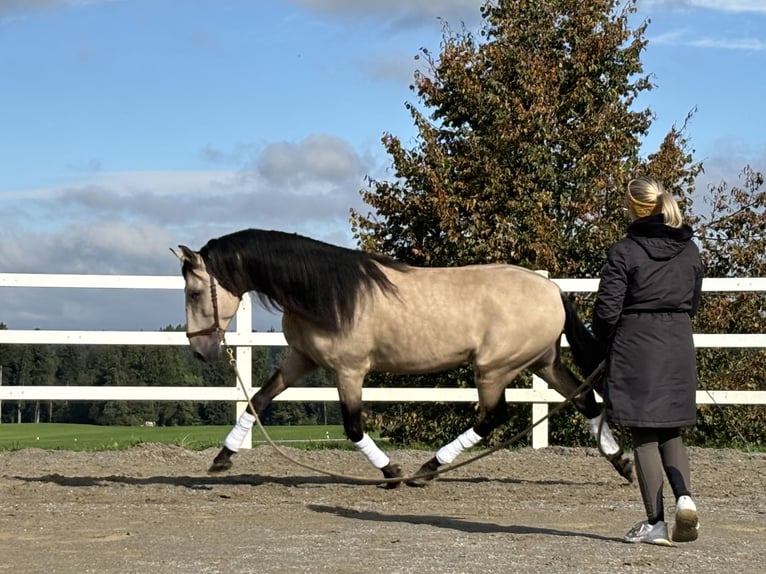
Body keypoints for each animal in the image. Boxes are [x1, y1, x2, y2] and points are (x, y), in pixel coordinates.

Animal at [176, 228, 636, 486]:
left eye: (194, 292)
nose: (199, 350)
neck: (328, 293)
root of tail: (553, 290)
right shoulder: (301, 360)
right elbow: (258, 400)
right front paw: (221, 459)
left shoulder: (349, 371)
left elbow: (353, 427)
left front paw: (391, 472)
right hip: (543, 361)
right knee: (584, 399)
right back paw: (621, 463)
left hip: (494, 368)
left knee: (493, 417)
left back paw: (427, 470)